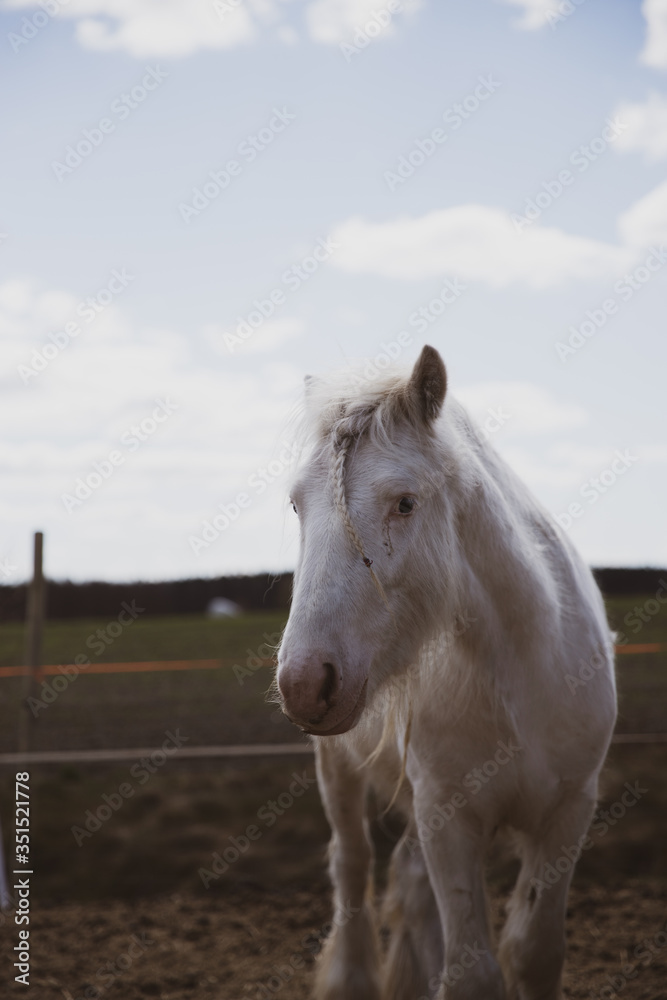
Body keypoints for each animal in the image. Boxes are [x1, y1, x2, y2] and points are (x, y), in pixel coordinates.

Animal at [275, 345, 616, 1000]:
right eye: (297, 505)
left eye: (405, 502)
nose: (305, 682)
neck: (519, 667)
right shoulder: (449, 820)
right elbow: (473, 972)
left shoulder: (568, 812)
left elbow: (534, 952)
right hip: (339, 769)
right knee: (352, 864)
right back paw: (353, 977)